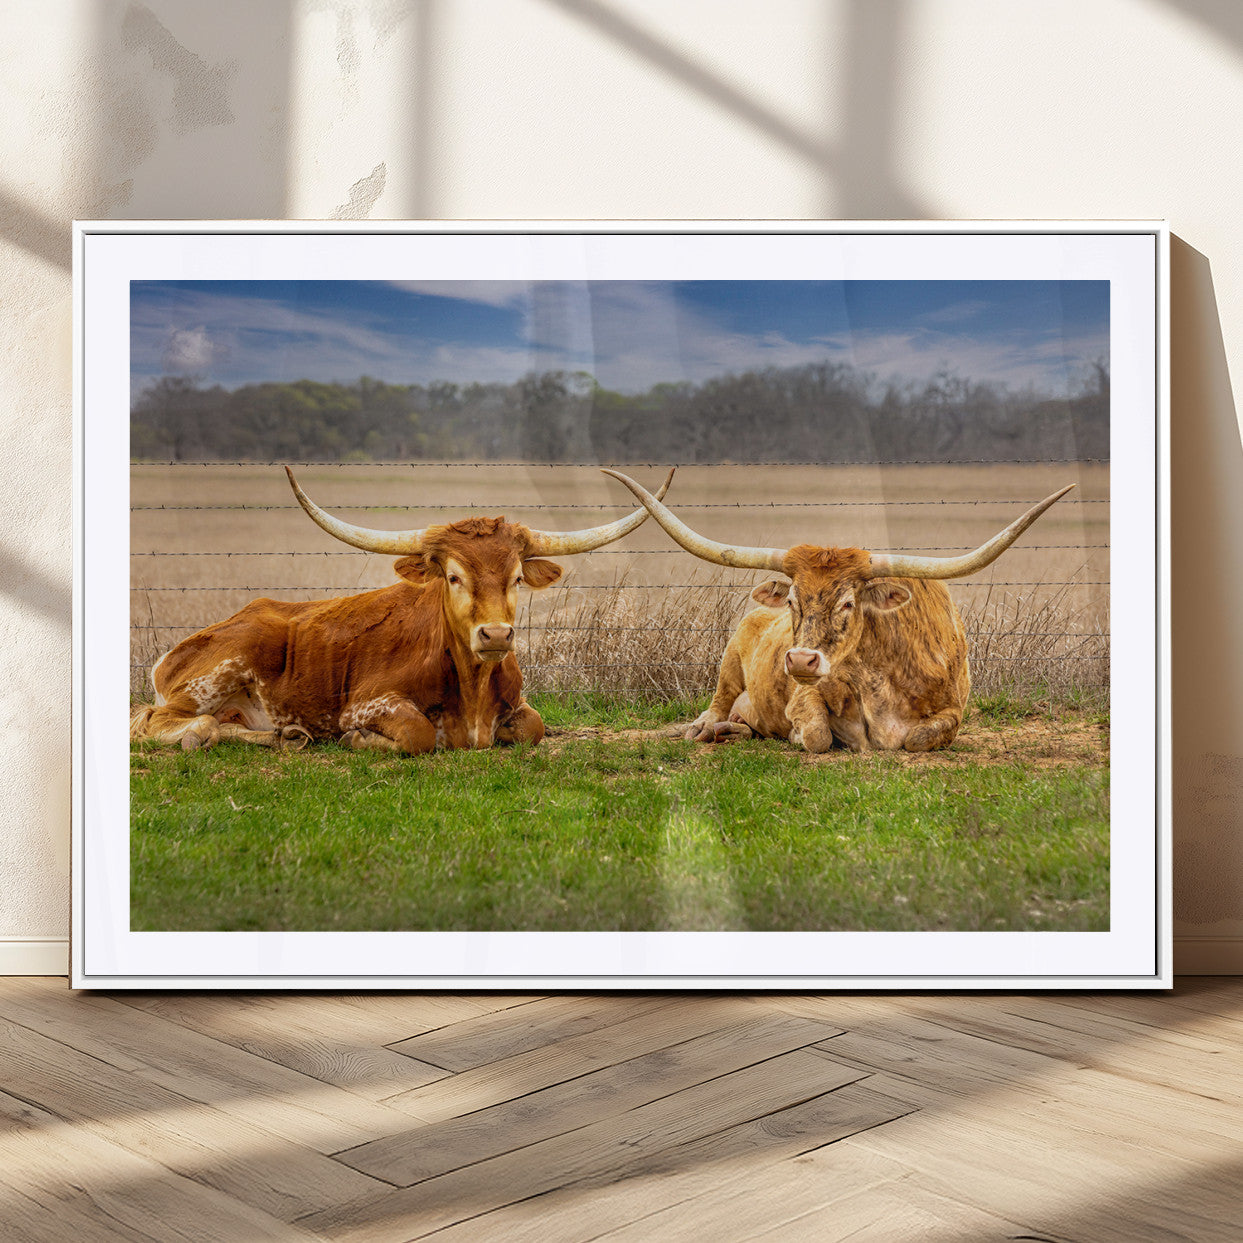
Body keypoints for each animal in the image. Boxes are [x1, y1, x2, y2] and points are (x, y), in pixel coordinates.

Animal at [130, 467, 674, 755]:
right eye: (452, 577)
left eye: (518, 577)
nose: (496, 636)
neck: (472, 690)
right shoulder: (366, 702)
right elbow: (417, 734)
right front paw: (357, 741)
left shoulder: (519, 708)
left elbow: (532, 727)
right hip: (219, 671)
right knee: (158, 720)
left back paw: (285, 735)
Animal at [602, 470, 1074, 753]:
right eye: (792, 600)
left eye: (848, 602)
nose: (799, 660)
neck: (883, 677)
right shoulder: (804, 694)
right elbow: (816, 735)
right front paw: (796, 734)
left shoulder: (953, 711)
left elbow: (919, 737)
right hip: (729, 662)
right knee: (716, 705)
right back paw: (709, 728)